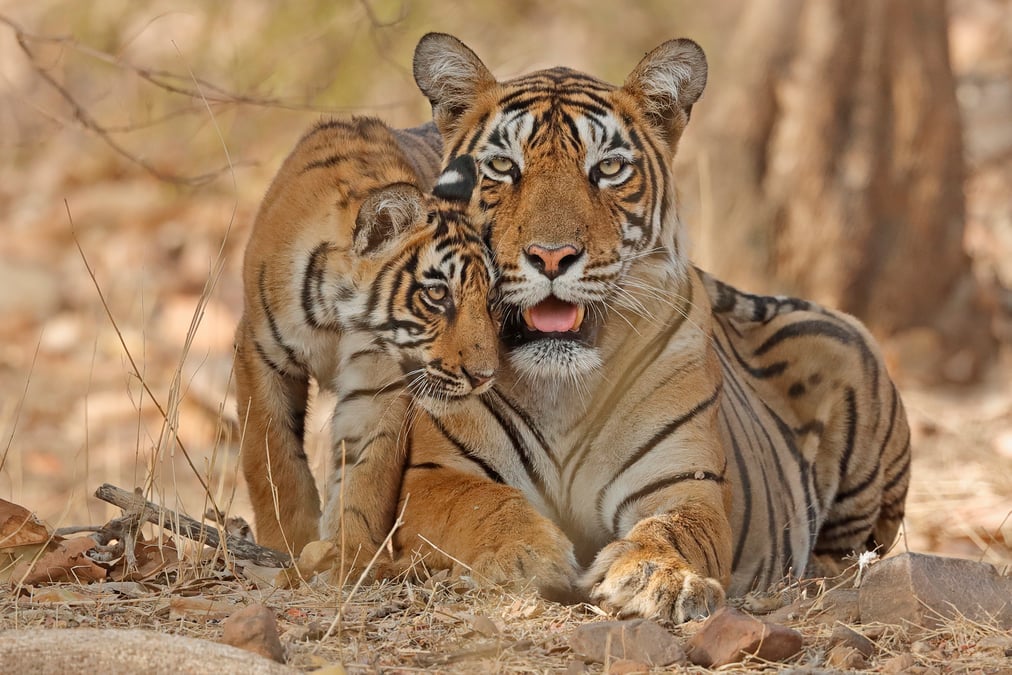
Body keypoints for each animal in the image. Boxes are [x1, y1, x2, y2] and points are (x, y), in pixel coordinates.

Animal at [233, 116, 500, 571]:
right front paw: (285, 544)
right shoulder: (259, 352)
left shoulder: (380, 381)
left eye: (490, 299)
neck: (337, 317)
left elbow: (366, 471)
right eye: (437, 294)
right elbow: (271, 456)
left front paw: (351, 556)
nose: (484, 377)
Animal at [324, 33, 911, 623]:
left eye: (607, 169)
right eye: (503, 166)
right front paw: (525, 555)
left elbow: (674, 528)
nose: (552, 256)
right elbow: (480, 506)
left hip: (849, 353)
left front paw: (656, 577)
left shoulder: (684, 481)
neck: (561, 391)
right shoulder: (435, 475)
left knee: (854, 550)